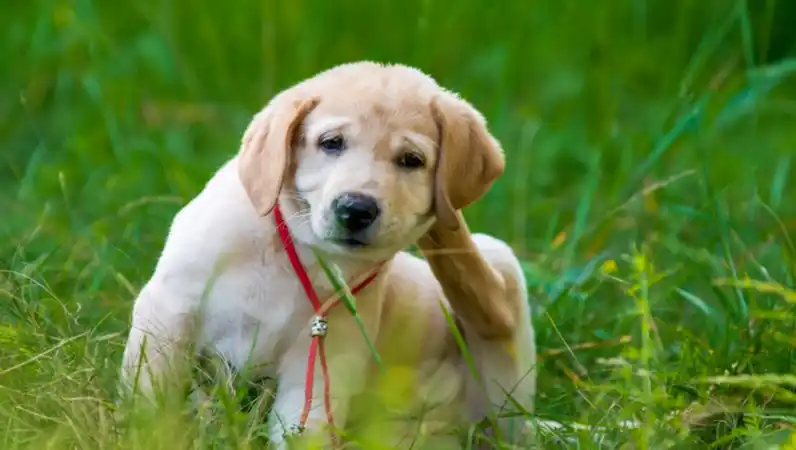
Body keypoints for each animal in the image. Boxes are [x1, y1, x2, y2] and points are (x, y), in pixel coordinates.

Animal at [119, 61, 536, 448]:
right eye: (331, 143)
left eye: (411, 160)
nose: (356, 209)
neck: (297, 250)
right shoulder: (170, 309)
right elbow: (151, 394)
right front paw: (149, 432)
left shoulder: (324, 361)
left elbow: (305, 429)